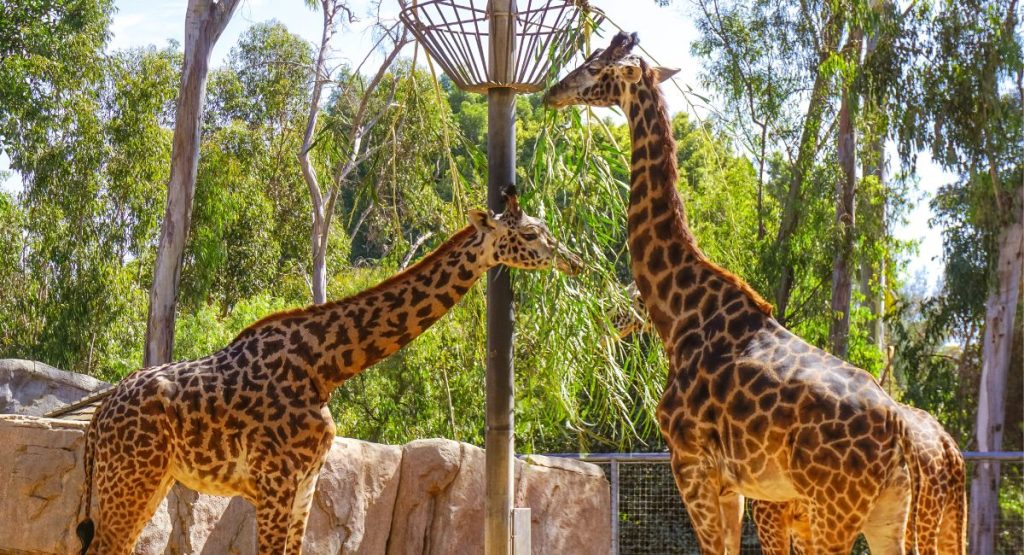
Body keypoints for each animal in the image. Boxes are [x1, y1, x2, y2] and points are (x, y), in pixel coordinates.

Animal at [74, 189, 581, 552]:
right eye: (531, 234)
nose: (573, 260)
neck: (326, 367)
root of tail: (97, 420)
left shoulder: (305, 484)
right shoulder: (275, 482)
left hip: (150, 479)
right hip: (131, 478)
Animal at [548, 32, 925, 552]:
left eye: (592, 66)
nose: (552, 92)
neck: (680, 313)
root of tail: (898, 431)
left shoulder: (691, 463)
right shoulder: (734, 485)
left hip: (833, 509)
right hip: (889, 510)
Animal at [614, 284, 966, 552]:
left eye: (636, 297)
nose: (613, 317)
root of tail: (949, 448)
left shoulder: (772, 515)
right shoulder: (800, 522)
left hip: (918, 514)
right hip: (945, 515)